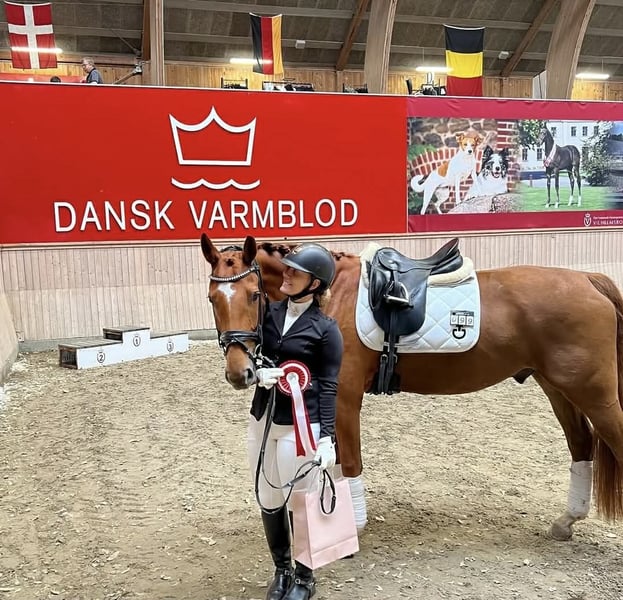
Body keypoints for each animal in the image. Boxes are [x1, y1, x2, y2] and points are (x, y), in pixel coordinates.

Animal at [200, 233, 623, 543]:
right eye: (211, 298)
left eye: (254, 294)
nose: (239, 373)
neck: (329, 293)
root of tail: (588, 280)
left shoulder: (344, 398)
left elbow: (348, 462)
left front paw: (352, 525)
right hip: (557, 387)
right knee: (581, 444)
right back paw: (566, 521)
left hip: (594, 394)